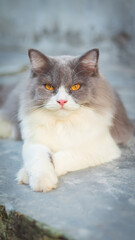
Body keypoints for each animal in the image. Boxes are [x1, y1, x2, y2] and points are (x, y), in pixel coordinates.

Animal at [0, 48, 133, 191]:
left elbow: (61, 156)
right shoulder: (34, 142)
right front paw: (39, 179)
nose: (61, 101)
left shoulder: (102, 147)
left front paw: (28, 175)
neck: (62, 124)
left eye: (75, 87)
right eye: (49, 87)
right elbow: (39, 159)